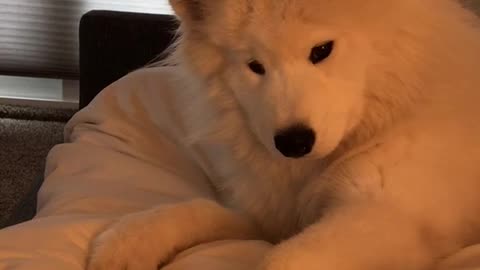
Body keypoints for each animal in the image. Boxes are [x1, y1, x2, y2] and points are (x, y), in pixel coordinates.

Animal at [86, 0, 480, 268]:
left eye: (321, 50)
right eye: (255, 66)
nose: (293, 142)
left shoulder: (388, 217)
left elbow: (284, 259)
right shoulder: (269, 218)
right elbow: (192, 210)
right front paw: (125, 243)